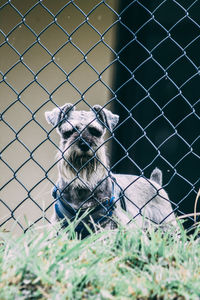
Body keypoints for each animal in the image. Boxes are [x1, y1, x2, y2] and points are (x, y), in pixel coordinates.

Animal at [45, 103, 177, 237]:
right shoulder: (61, 224)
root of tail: (155, 183)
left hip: (166, 225)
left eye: (96, 132)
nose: (84, 144)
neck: (83, 184)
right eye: (69, 132)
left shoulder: (108, 223)